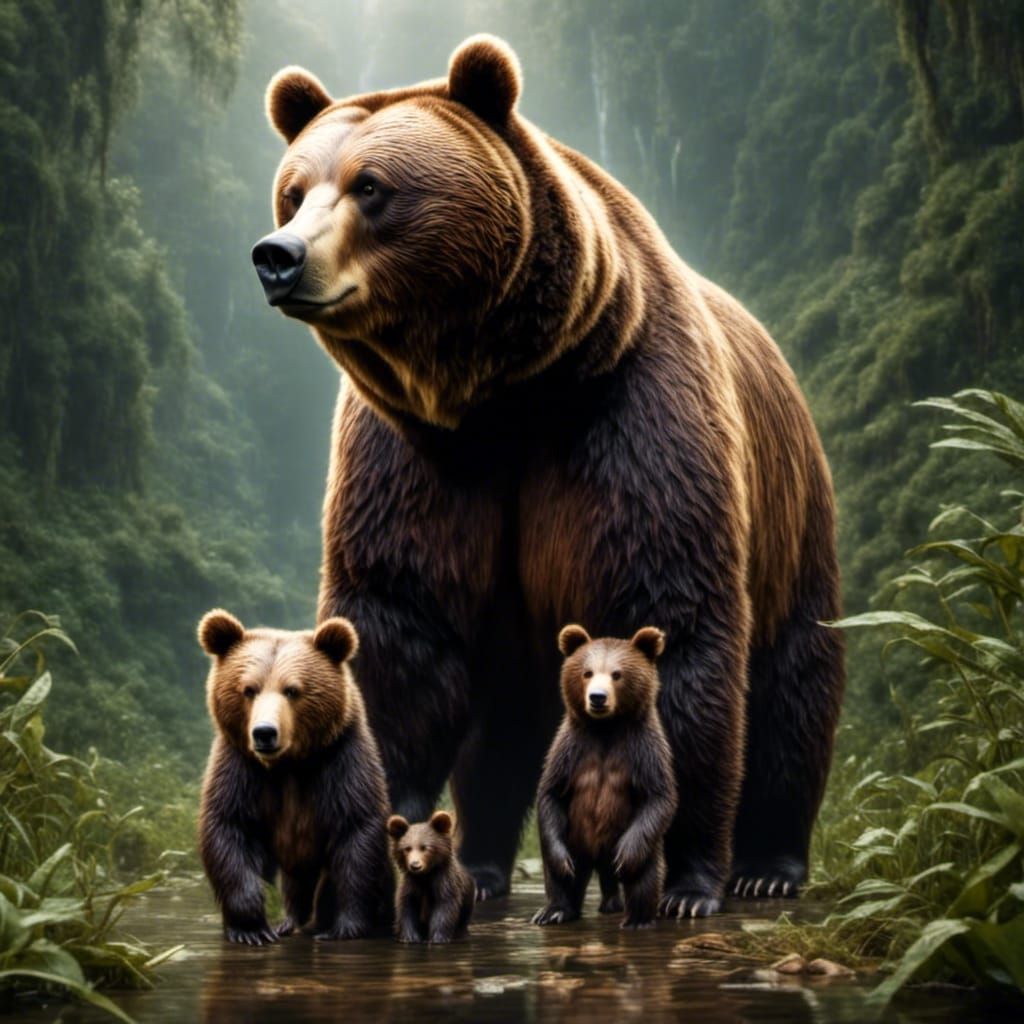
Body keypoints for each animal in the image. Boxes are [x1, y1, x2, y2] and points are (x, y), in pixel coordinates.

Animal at [197, 609, 392, 944]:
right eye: (249, 689)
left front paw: (344, 926)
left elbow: (356, 831)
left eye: (292, 690)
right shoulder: (240, 767)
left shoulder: (340, 762)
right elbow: (229, 828)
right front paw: (251, 928)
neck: (289, 764)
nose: (264, 733)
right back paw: (287, 922)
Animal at [386, 810, 475, 943]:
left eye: (425, 847)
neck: (425, 875)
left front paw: (438, 938)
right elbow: (406, 908)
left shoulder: (444, 882)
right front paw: (409, 937)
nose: (415, 865)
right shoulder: (411, 885)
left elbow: (445, 907)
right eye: (407, 848)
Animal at [532, 625, 677, 928]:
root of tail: (598, 860)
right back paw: (554, 911)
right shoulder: (570, 749)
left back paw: (637, 918)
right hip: (576, 838)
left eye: (617, 674)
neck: (606, 729)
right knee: (559, 876)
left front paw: (625, 858)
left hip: (644, 844)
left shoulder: (644, 750)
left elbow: (659, 797)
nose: (597, 697)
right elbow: (550, 793)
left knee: (645, 876)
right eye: (587, 672)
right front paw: (562, 866)